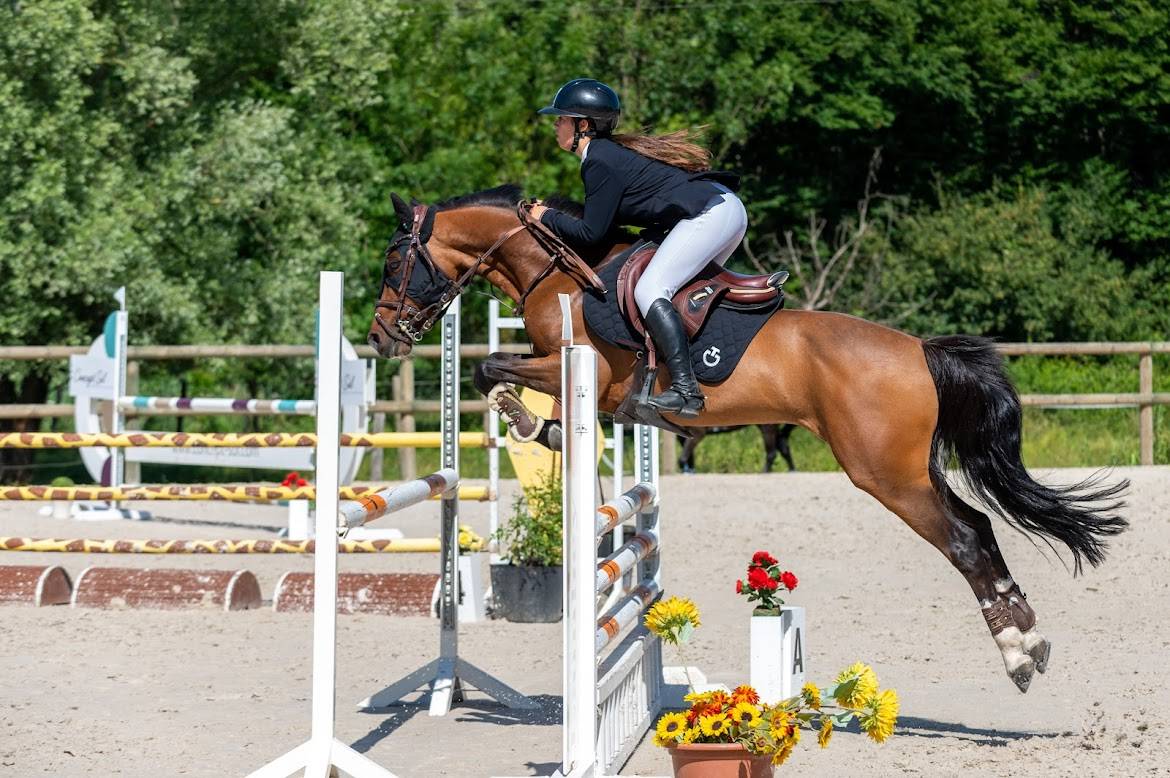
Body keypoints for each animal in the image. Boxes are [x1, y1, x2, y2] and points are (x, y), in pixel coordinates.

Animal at [366, 184, 1128, 694]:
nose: (380, 338)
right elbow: (503, 374)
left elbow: (492, 365)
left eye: (393, 260)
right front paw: (539, 425)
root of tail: (919, 350)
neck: (561, 270)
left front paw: (527, 419)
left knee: (965, 538)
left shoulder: (585, 370)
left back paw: (1019, 653)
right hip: (911, 470)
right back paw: (1028, 638)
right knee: (980, 526)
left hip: (884, 473)